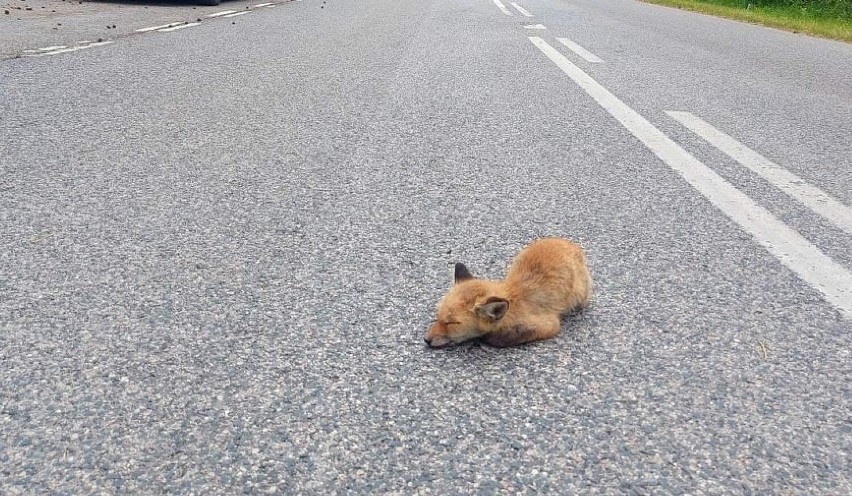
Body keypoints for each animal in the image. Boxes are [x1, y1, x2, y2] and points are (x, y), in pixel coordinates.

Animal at [424, 237, 592, 348]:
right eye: (438, 317)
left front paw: (490, 338)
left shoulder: (549, 325)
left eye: (452, 323)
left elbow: (503, 338)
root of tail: (567, 242)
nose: (426, 340)